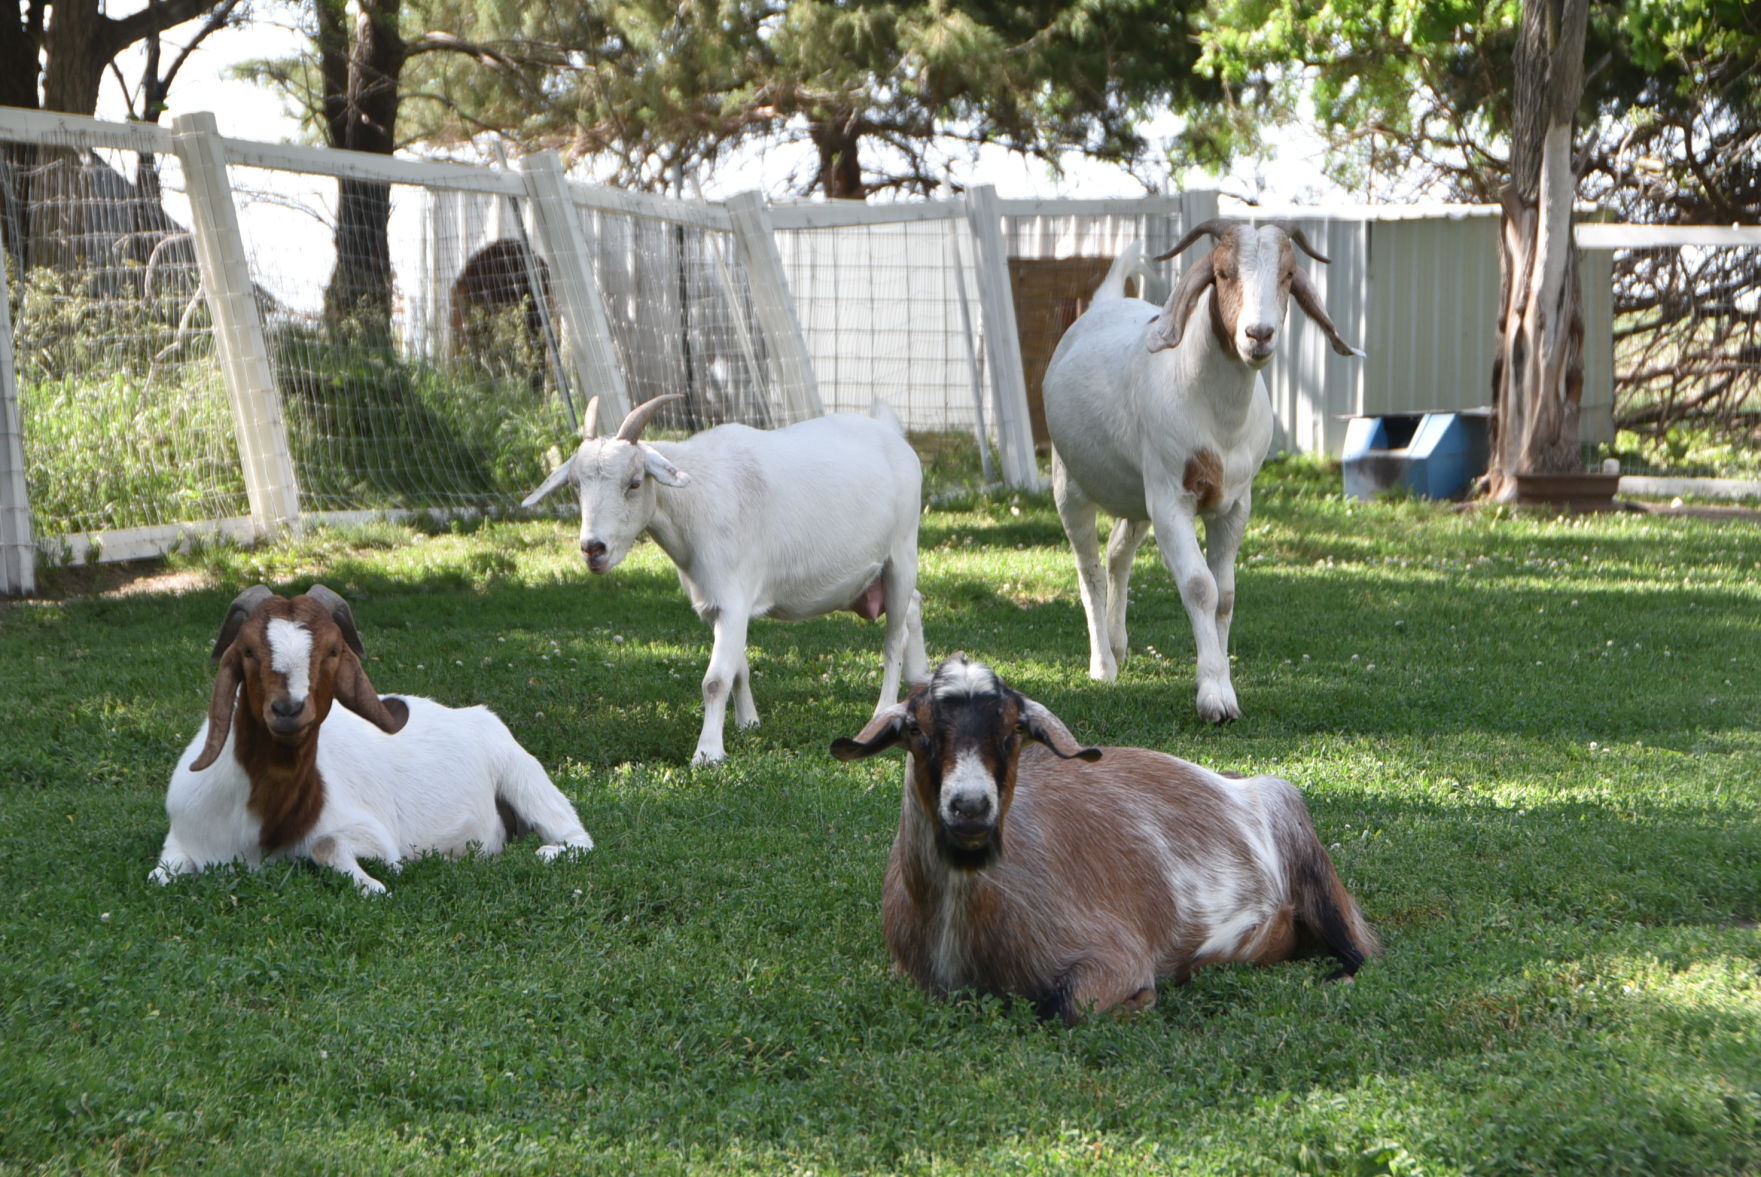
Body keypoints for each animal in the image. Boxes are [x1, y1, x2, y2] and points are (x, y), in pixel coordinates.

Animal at [153, 584, 591, 895]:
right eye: (247, 650)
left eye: (333, 650)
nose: (288, 709)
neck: (264, 823)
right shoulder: (180, 841)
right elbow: (160, 877)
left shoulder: (371, 832)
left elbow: (327, 846)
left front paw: (374, 884)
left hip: (522, 775)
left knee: (575, 836)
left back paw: (546, 851)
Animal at [521, 391, 929, 768]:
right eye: (576, 485)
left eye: (634, 482)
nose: (594, 549)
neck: (696, 498)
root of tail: (892, 433)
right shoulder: (719, 603)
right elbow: (737, 669)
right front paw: (748, 723)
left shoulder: (733, 597)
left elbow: (715, 679)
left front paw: (708, 753)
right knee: (913, 605)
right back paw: (921, 679)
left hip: (901, 554)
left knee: (894, 637)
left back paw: (882, 711)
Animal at [831, 651, 1380, 1021]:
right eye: (917, 731)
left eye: (1012, 732)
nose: (970, 806)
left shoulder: (1113, 955)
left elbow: (1068, 1006)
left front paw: (1147, 997)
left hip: (1308, 856)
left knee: (1364, 952)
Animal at [1035, 218, 1366, 718]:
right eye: (1223, 273)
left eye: (1288, 275)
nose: (1258, 334)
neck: (1217, 419)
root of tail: (1104, 303)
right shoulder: (1171, 499)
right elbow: (1199, 587)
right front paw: (1215, 696)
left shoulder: (1234, 505)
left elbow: (1225, 596)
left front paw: (1217, 678)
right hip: (1070, 482)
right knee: (1088, 567)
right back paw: (1103, 663)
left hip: (1136, 496)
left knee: (1117, 554)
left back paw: (1119, 644)